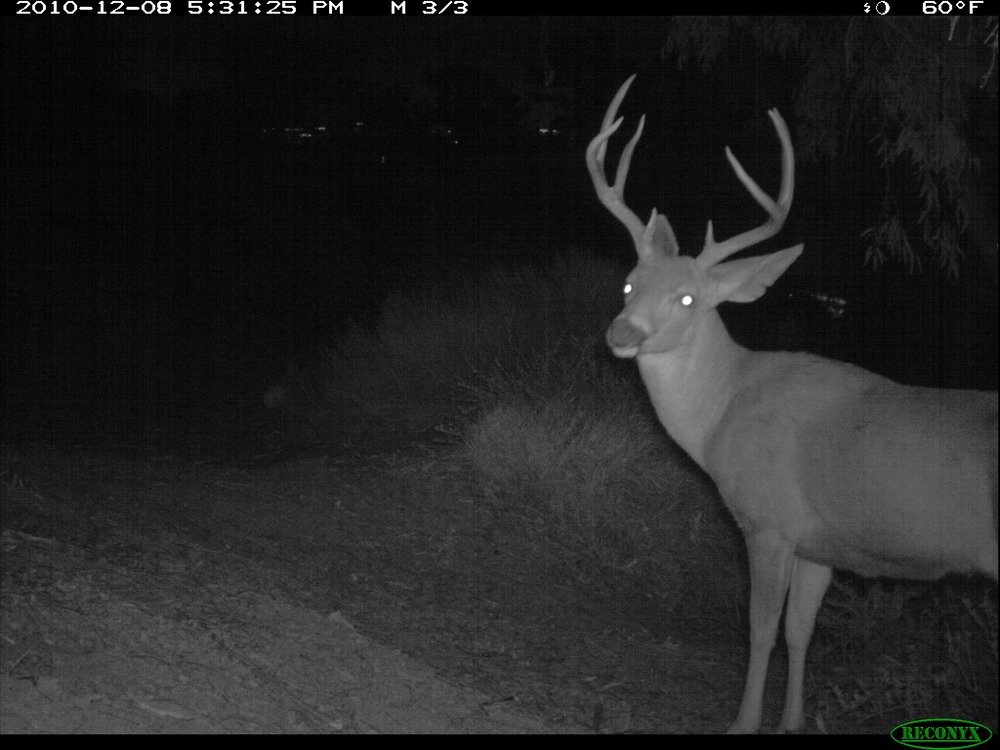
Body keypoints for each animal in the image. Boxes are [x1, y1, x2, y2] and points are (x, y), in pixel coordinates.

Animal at [587, 75, 998, 734]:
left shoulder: (768, 521)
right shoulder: (819, 544)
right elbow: (801, 633)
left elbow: (759, 631)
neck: (722, 413)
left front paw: (742, 722)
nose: (622, 333)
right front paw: (792, 722)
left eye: (687, 298)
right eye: (628, 284)